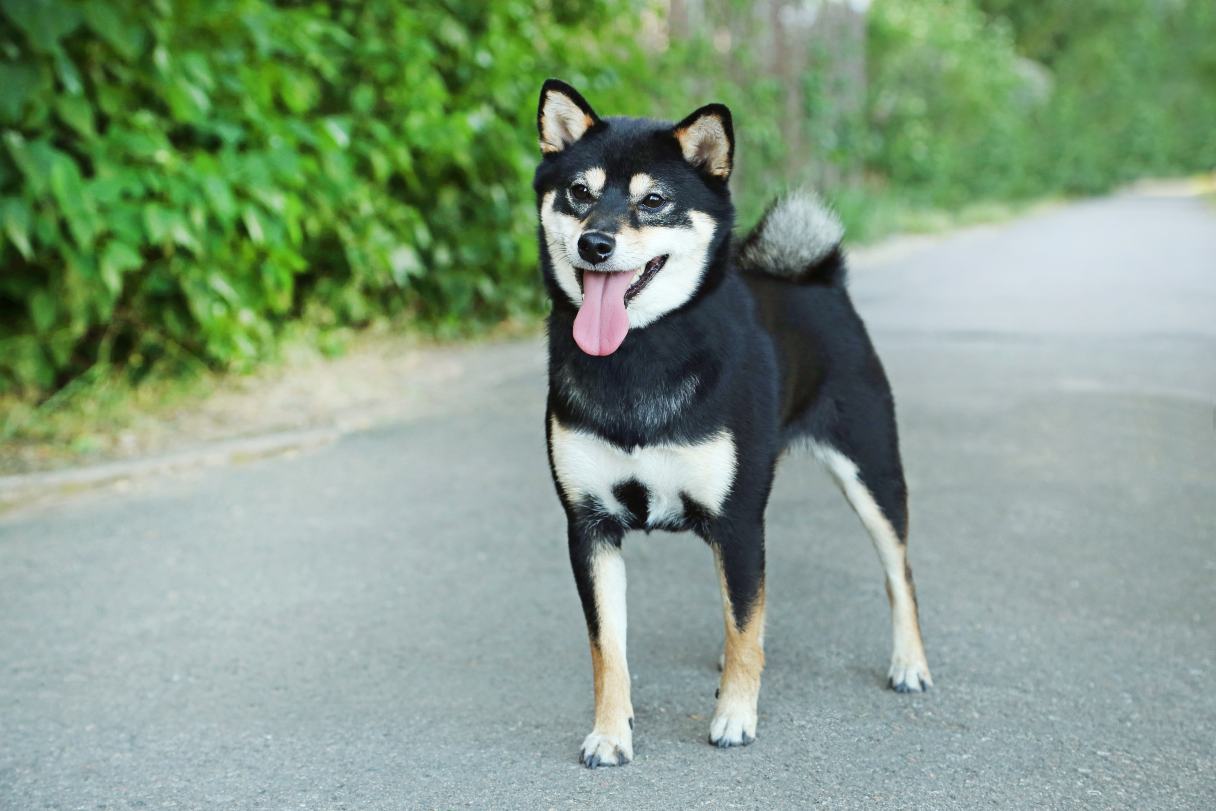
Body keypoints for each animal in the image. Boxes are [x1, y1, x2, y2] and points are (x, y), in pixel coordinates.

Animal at [532, 80, 929, 768]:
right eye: (579, 192)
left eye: (653, 201)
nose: (594, 244)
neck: (638, 357)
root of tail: (816, 278)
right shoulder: (589, 527)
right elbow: (609, 650)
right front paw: (610, 733)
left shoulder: (739, 520)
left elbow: (746, 628)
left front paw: (735, 718)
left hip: (872, 474)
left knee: (895, 572)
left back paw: (910, 663)